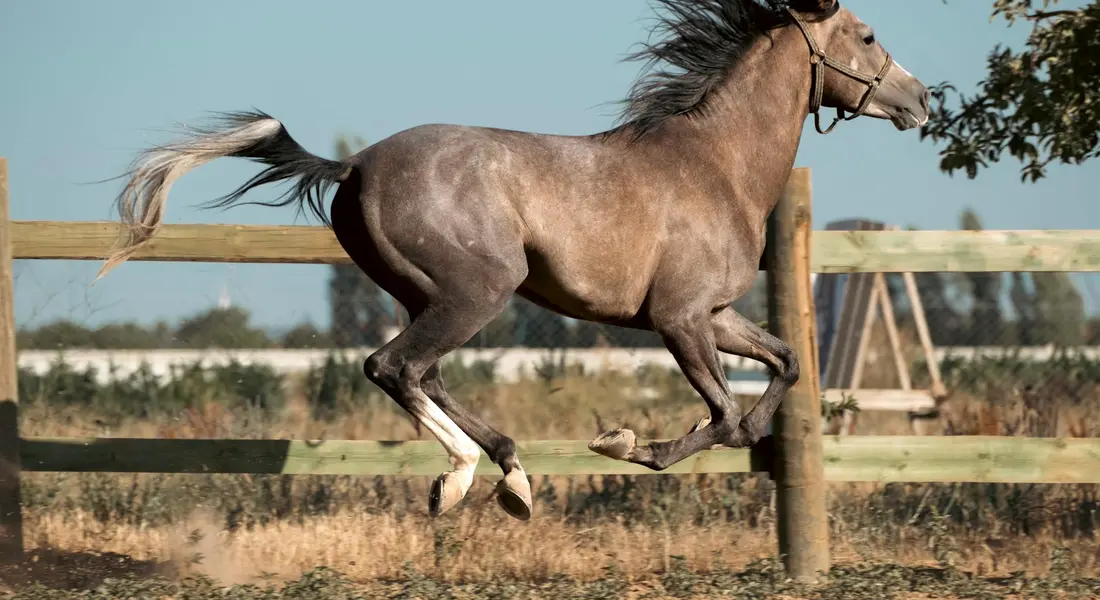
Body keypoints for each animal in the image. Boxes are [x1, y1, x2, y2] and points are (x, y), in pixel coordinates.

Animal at [97, 0, 929, 523]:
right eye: (866, 35)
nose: (922, 102)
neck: (715, 163)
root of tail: (355, 165)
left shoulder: (716, 316)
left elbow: (785, 363)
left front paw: (742, 432)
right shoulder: (680, 318)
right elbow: (720, 415)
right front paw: (629, 443)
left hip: (431, 295)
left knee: (422, 373)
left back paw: (512, 477)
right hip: (478, 292)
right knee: (393, 367)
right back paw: (461, 480)